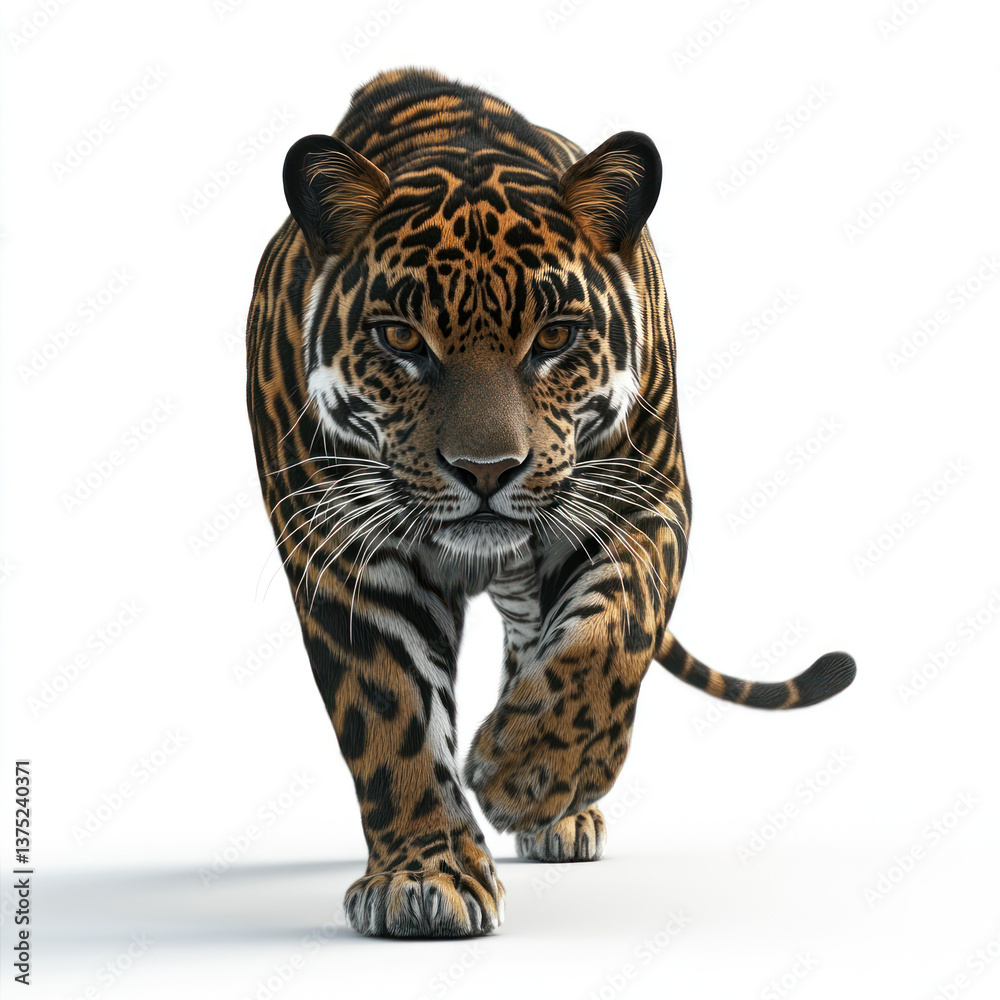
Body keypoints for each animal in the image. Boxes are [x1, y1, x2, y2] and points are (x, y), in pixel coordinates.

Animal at [245, 67, 856, 939]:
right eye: (401, 340)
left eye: (555, 338)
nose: (486, 470)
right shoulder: (342, 550)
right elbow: (391, 714)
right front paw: (423, 877)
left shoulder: (644, 499)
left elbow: (613, 633)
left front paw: (528, 774)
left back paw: (554, 807)